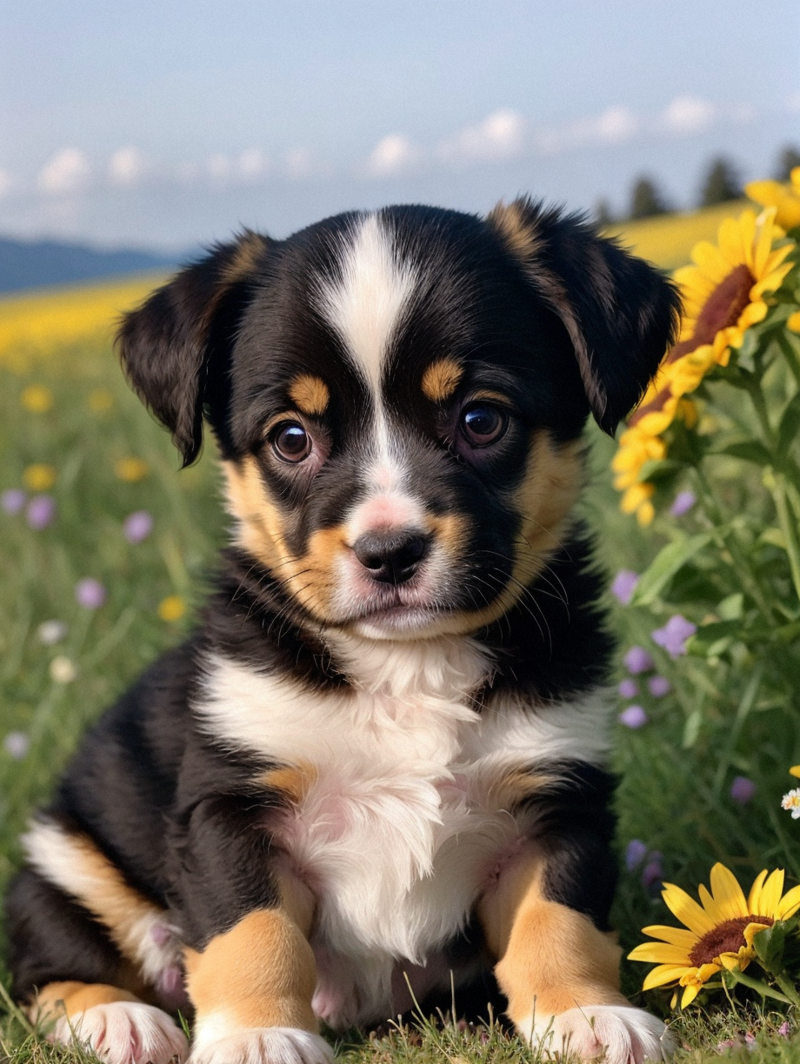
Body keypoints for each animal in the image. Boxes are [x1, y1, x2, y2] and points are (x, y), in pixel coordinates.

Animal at [6, 201, 680, 1064]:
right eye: (291, 437)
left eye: (481, 419)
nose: (389, 552)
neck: (407, 668)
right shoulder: (231, 806)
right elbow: (251, 931)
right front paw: (258, 1036)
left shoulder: (560, 795)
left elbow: (560, 922)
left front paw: (585, 1015)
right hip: (72, 861)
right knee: (49, 969)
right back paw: (118, 1020)